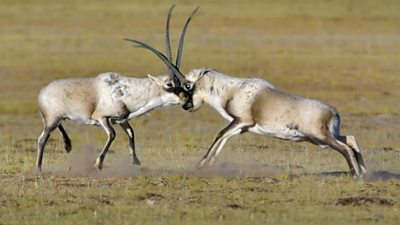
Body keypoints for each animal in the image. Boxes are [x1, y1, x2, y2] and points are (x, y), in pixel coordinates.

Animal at [36, 5, 197, 171]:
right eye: (169, 84)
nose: (186, 97)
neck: (126, 92)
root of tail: (44, 91)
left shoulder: (121, 120)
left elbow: (131, 133)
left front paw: (135, 161)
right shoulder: (102, 118)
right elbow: (112, 135)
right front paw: (98, 163)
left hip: (58, 118)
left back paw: (67, 145)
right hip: (53, 119)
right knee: (42, 139)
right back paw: (39, 167)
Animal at [180, 67, 366, 178]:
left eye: (188, 85)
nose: (186, 106)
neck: (231, 89)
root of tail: (332, 111)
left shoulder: (242, 120)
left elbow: (220, 134)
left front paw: (200, 165)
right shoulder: (243, 127)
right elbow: (225, 138)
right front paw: (208, 164)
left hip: (322, 138)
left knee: (345, 148)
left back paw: (357, 175)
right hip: (326, 137)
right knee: (351, 139)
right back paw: (364, 172)